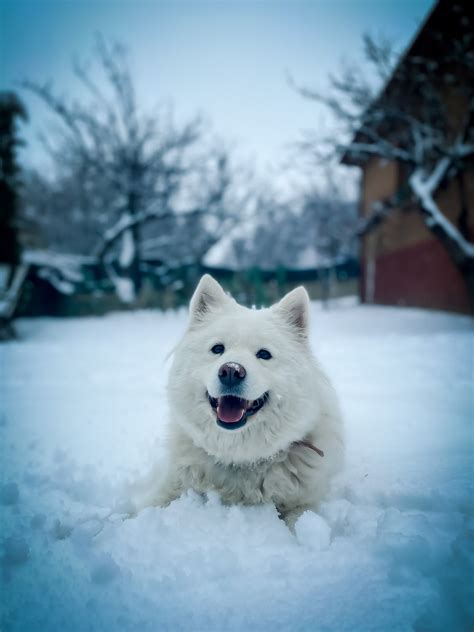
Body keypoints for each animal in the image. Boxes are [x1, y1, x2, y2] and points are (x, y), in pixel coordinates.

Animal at [133, 276, 344, 528]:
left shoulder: (303, 503)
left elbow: (301, 523)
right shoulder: (171, 486)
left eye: (264, 354)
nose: (231, 371)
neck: (240, 457)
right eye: (217, 349)